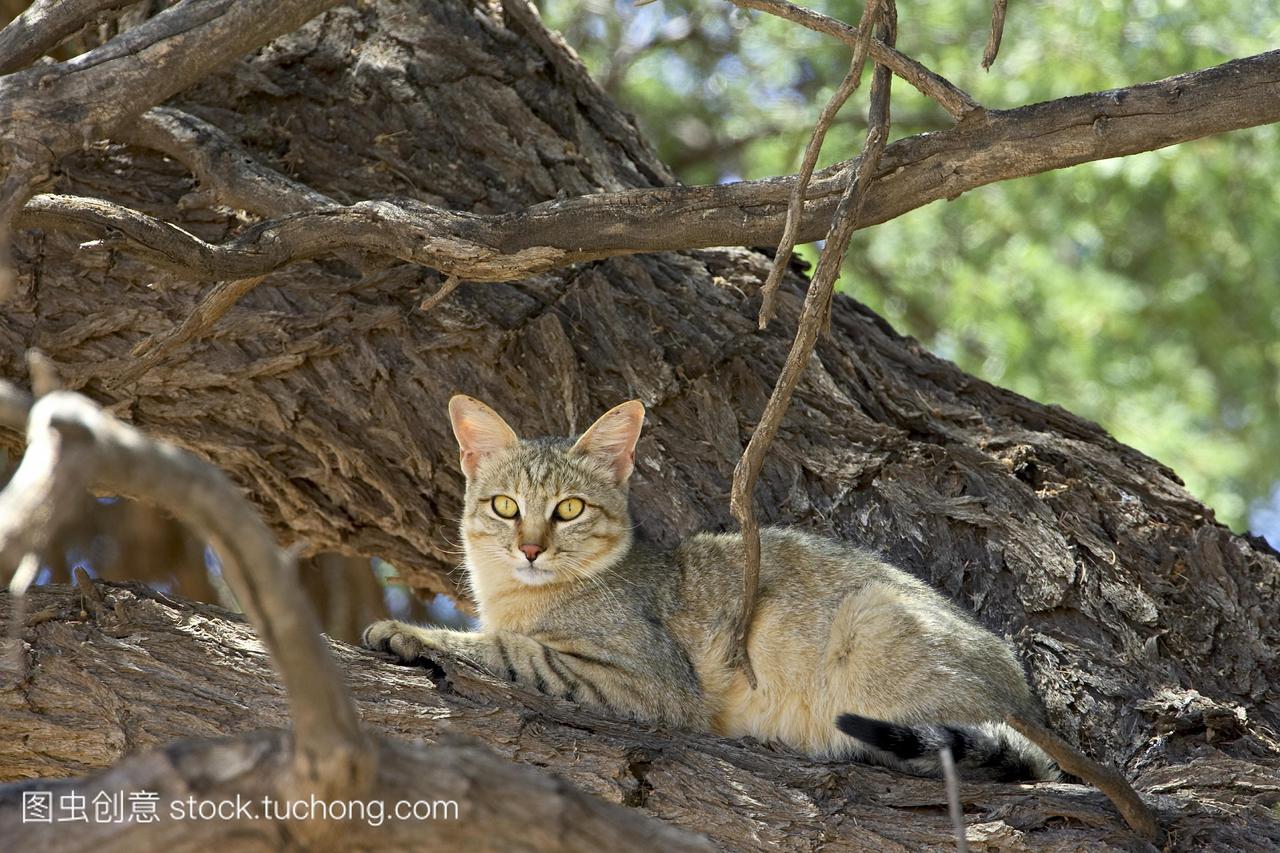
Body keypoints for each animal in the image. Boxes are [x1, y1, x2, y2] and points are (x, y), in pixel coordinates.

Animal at [363, 394, 1059, 778]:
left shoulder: (647, 682)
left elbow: (508, 650)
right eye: (506, 507)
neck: (515, 596)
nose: (530, 548)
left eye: (569, 509)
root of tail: (1026, 702)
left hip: (872, 622)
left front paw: (407, 632)